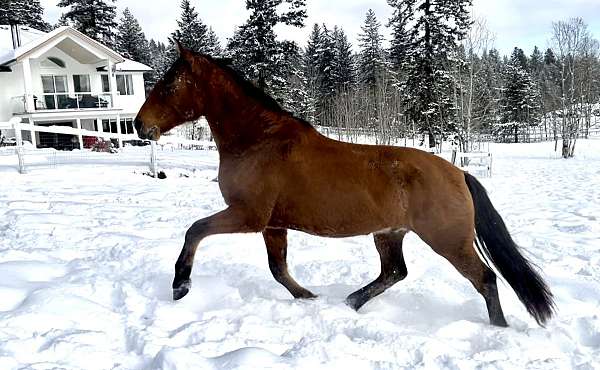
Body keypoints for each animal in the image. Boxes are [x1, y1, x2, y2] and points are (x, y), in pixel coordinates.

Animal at [135, 42, 552, 328]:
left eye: (168, 85)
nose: (140, 125)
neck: (259, 141)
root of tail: (458, 173)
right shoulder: (273, 225)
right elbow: (278, 268)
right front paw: (308, 297)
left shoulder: (248, 216)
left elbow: (195, 230)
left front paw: (181, 285)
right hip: (389, 233)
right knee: (394, 272)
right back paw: (351, 302)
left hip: (448, 240)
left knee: (485, 278)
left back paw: (499, 328)